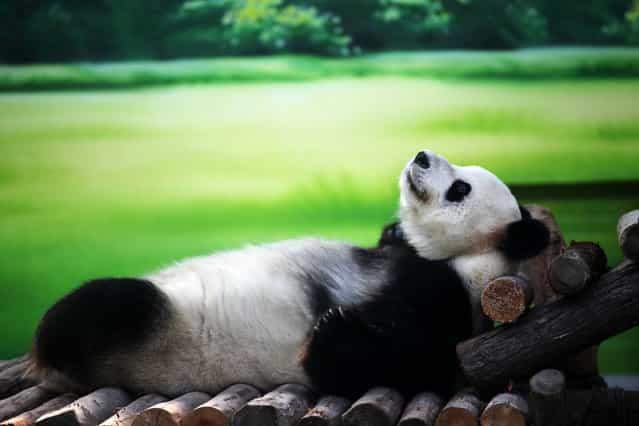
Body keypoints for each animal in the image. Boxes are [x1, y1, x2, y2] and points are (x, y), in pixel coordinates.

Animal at [31, 150, 552, 400]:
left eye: (460, 188)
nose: (421, 155)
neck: (466, 258)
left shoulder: (449, 299)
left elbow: (401, 360)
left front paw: (332, 330)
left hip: (153, 332)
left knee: (104, 305)